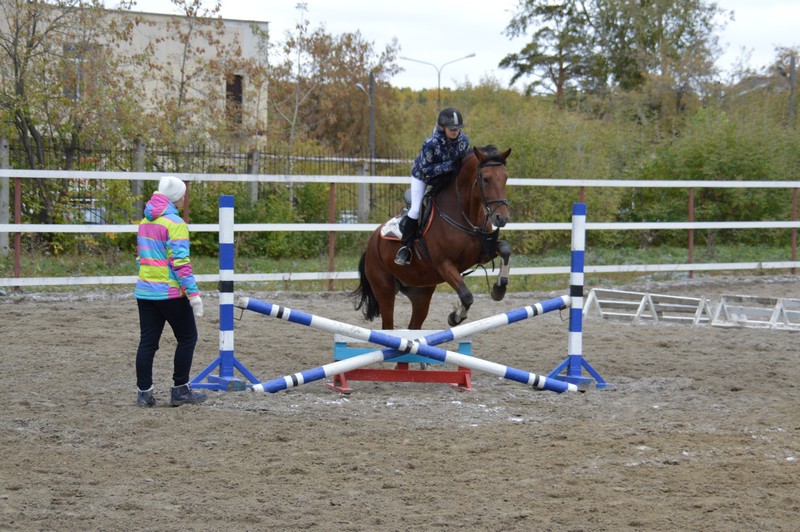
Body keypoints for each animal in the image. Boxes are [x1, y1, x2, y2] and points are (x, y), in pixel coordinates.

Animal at [354, 143, 512, 330]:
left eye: (505, 178)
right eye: (486, 179)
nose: (502, 218)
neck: (465, 215)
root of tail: (372, 242)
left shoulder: (482, 253)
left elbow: (505, 249)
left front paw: (499, 289)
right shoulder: (444, 264)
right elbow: (466, 296)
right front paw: (454, 317)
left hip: (421, 292)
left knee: (414, 325)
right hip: (384, 290)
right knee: (388, 324)